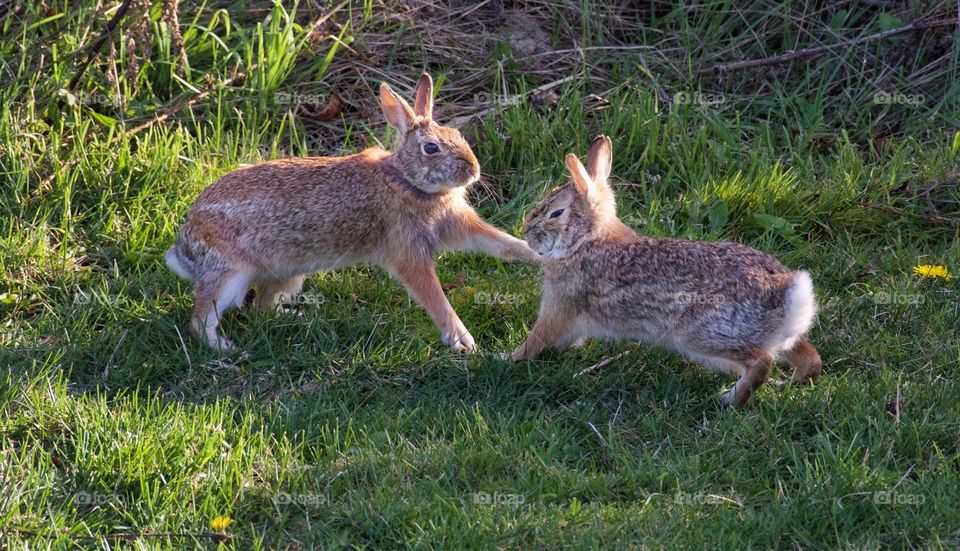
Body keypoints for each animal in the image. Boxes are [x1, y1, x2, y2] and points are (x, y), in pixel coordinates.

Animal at [166, 73, 538, 352]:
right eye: (431, 148)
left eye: (458, 134)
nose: (473, 170)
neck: (406, 180)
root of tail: (182, 250)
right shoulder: (408, 252)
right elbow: (433, 295)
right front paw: (462, 341)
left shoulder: (455, 225)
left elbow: (498, 242)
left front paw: (534, 253)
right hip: (230, 274)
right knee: (201, 317)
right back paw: (224, 348)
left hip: (289, 274)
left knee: (261, 309)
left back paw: (294, 318)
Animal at [510, 135, 822, 407]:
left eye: (556, 213)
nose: (527, 235)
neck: (586, 240)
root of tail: (788, 293)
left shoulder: (560, 306)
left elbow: (538, 339)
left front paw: (507, 359)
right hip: (780, 339)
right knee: (810, 360)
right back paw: (787, 383)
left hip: (700, 333)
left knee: (761, 362)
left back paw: (728, 400)